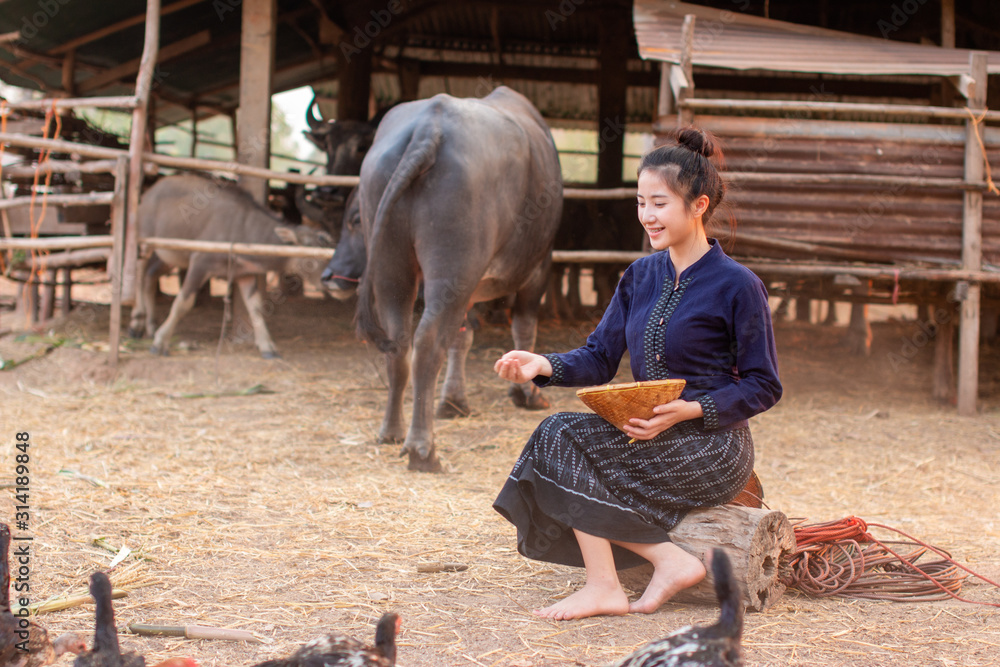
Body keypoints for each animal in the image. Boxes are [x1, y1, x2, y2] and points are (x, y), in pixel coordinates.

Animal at [127, 175, 332, 358]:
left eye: (329, 248)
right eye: (312, 248)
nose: (332, 282)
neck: (240, 227)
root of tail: (150, 192)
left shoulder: (244, 274)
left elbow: (256, 308)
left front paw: (267, 346)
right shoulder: (200, 263)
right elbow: (182, 303)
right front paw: (160, 342)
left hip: (168, 255)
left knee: (150, 277)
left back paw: (150, 325)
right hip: (144, 243)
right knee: (138, 272)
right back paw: (136, 322)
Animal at [322, 88, 564, 472]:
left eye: (355, 220)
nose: (329, 275)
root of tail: (430, 125)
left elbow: (462, 338)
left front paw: (453, 402)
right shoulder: (538, 266)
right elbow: (524, 329)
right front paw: (527, 393)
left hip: (394, 268)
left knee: (399, 344)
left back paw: (392, 431)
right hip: (455, 265)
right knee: (428, 342)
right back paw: (423, 449)